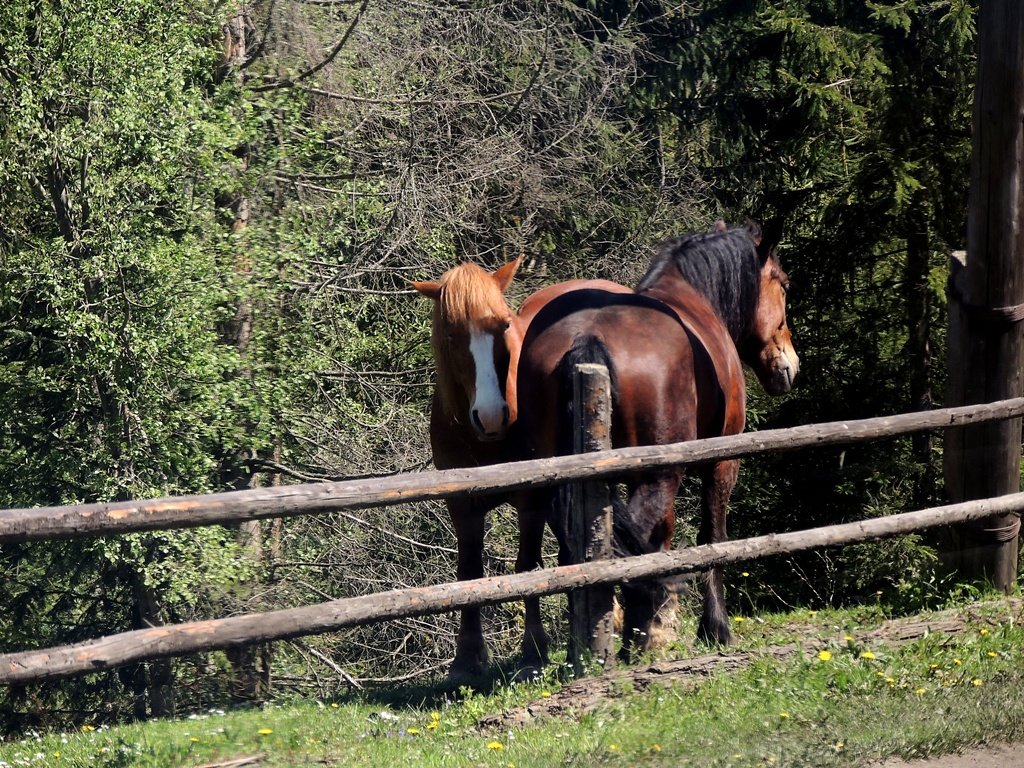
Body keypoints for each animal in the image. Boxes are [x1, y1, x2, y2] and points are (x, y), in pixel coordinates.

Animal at [411, 262, 626, 684]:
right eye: (451, 334)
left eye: (505, 326)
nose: (492, 415)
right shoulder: (461, 506)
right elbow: (469, 573)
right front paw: (467, 659)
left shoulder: (531, 500)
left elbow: (527, 567)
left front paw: (532, 653)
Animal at [516, 221, 794, 655]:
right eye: (782, 284)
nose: (789, 365)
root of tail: (587, 337)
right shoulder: (720, 463)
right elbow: (711, 536)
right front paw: (713, 626)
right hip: (657, 477)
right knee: (637, 536)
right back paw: (635, 635)